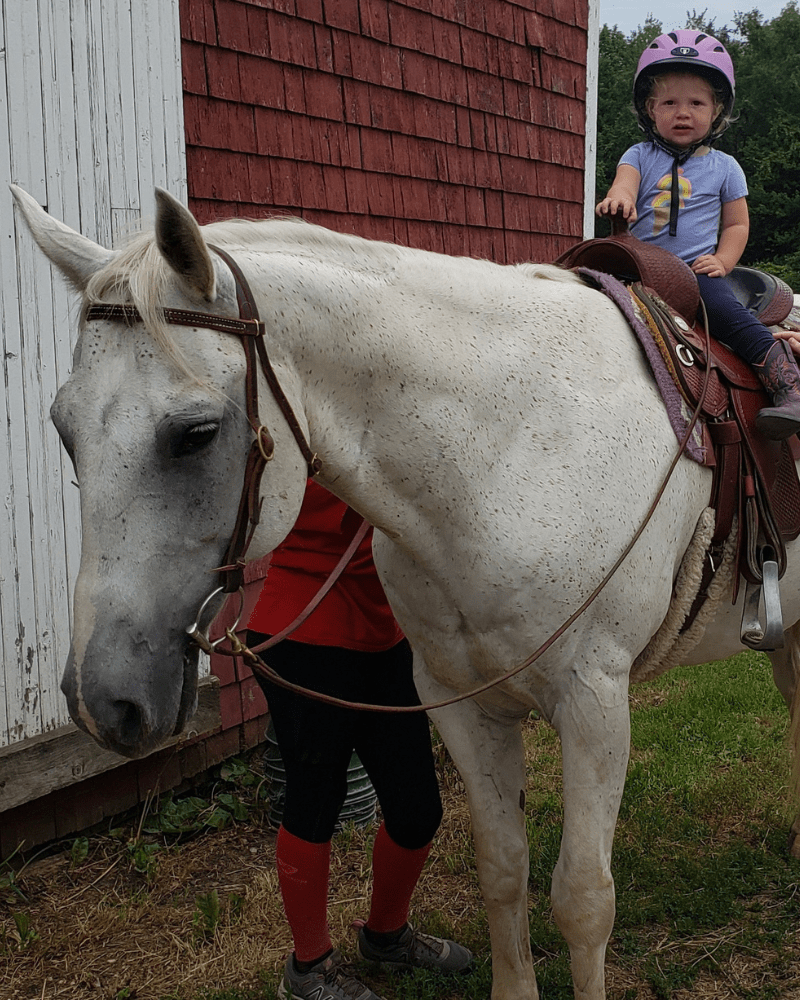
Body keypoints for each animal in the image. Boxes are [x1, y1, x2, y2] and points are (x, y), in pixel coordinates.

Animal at [10, 186, 800, 1000]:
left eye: (194, 434)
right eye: (63, 429)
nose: (102, 701)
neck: (511, 447)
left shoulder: (595, 702)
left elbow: (583, 901)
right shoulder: (461, 700)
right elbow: (503, 872)